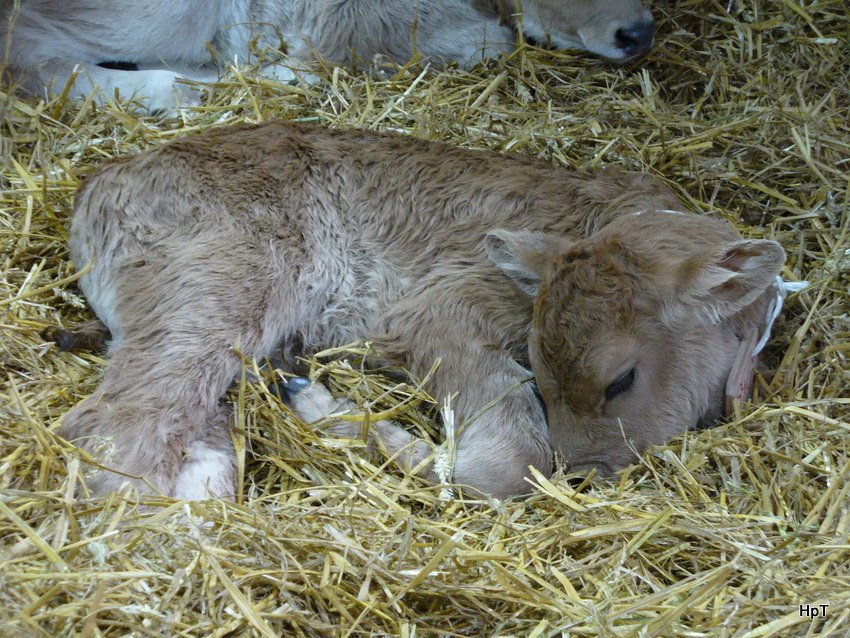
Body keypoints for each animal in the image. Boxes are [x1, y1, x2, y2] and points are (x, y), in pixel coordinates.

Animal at [58, 120, 780, 500]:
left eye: (622, 380)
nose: (582, 474)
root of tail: (100, 182)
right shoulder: (440, 310)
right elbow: (513, 456)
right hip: (217, 282)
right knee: (116, 423)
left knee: (190, 415)